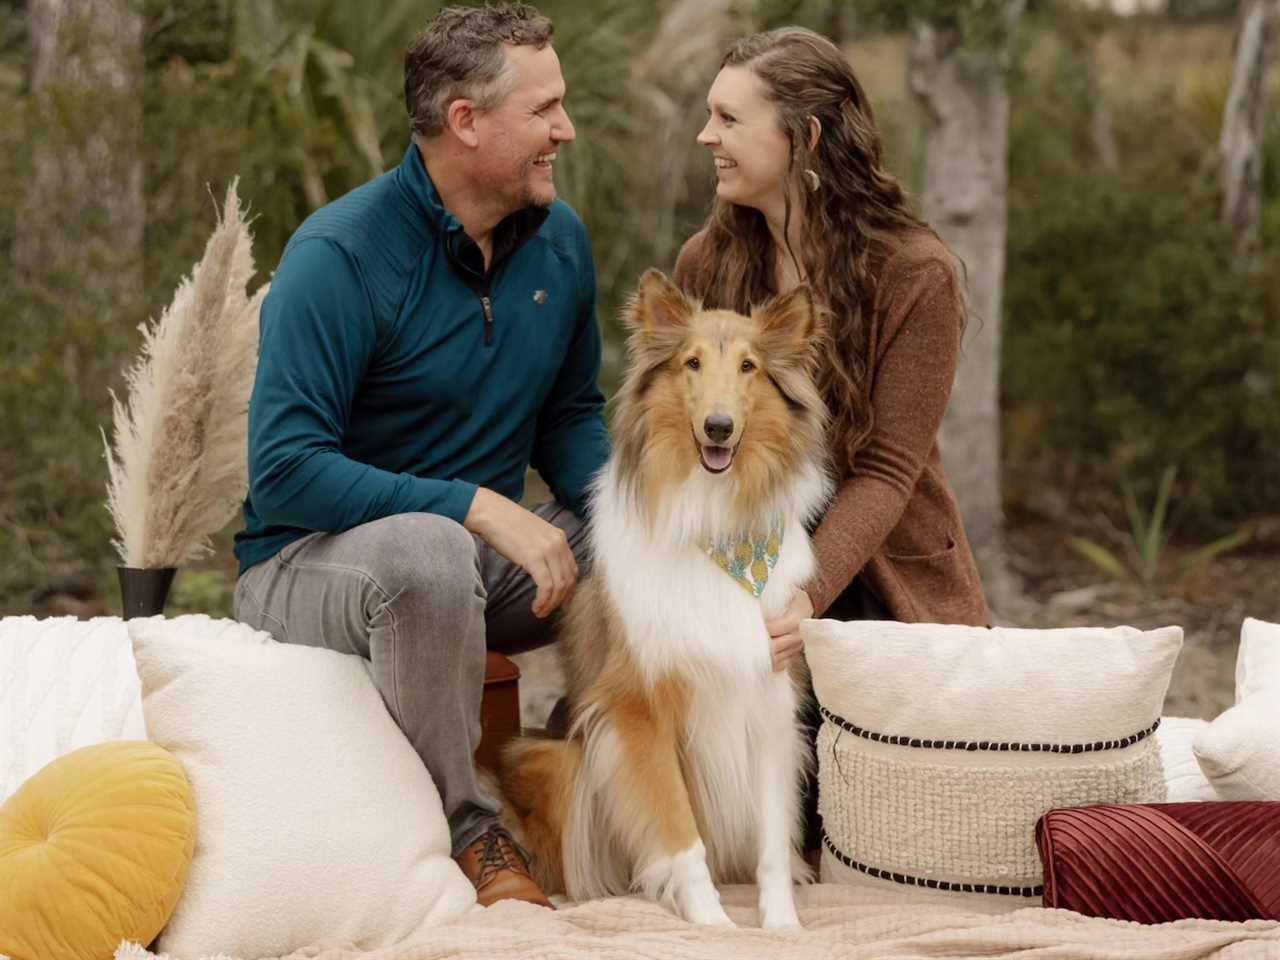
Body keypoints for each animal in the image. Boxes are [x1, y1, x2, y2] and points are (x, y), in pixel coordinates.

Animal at [499, 267, 829, 926]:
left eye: (749, 366)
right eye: (691, 363)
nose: (718, 428)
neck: (715, 524)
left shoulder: (769, 697)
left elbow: (772, 836)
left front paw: (780, 924)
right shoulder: (638, 712)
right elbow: (678, 832)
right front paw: (711, 922)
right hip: (554, 759)